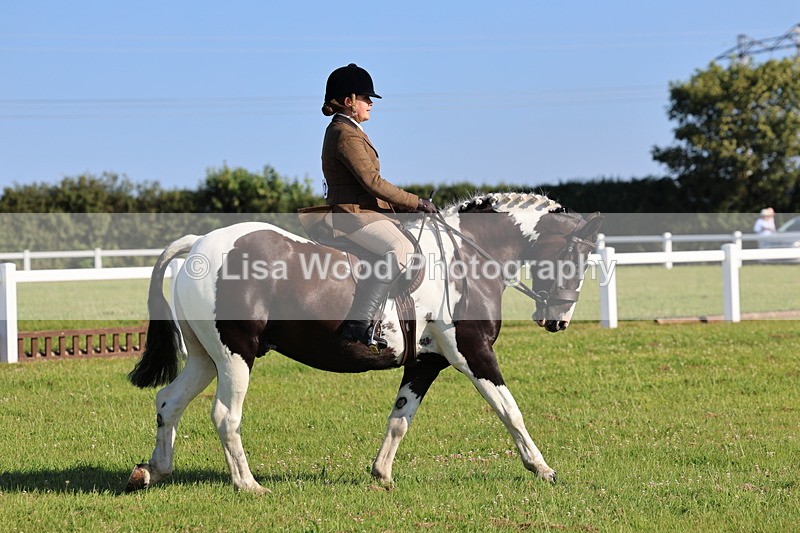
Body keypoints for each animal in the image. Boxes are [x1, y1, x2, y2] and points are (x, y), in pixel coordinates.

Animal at [125, 192, 603, 493]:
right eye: (576, 258)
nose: (558, 320)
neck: (464, 260)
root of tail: (200, 244)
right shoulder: (472, 352)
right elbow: (509, 410)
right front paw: (542, 469)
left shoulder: (427, 362)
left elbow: (400, 418)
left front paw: (382, 474)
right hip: (235, 356)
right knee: (225, 415)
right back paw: (248, 485)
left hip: (206, 357)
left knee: (169, 401)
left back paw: (152, 472)